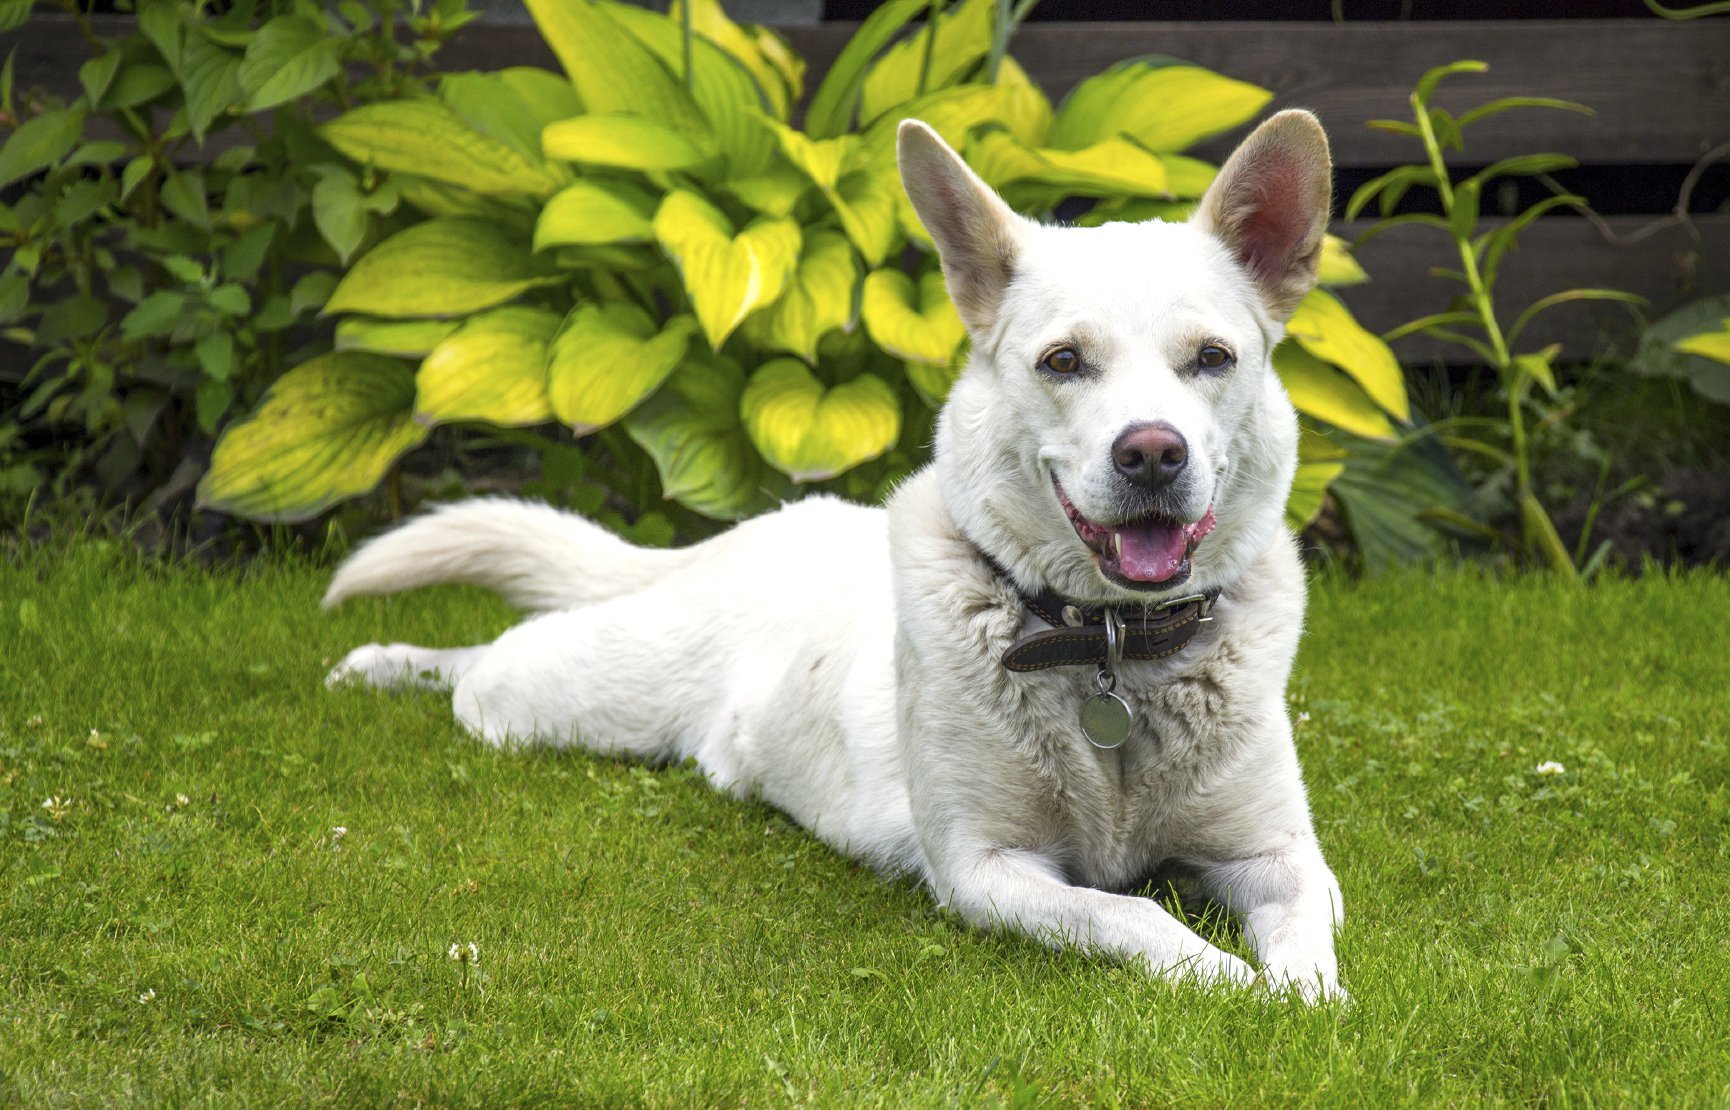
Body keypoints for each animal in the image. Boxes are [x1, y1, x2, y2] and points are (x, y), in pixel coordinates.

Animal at [326, 110, 1349, 995]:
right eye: (1064, 361)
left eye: (1212, 358)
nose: (1152, 454)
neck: (1112, 650)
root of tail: (754, 528)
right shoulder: (986, 869)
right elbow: (1131, 914)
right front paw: (1227, 981)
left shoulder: (1281, 856)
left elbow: (1308, 945)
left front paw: (1302, 998)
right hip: (567, 699)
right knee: (483, 665)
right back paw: (380, 664)